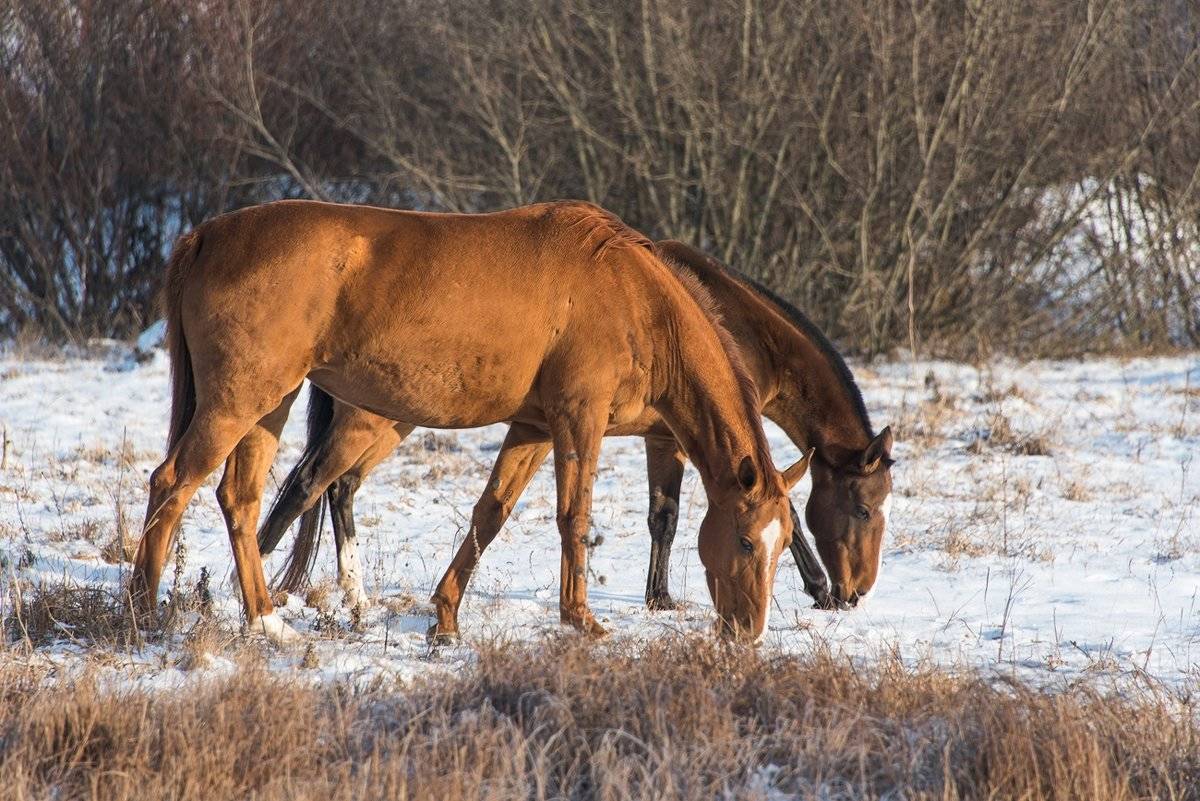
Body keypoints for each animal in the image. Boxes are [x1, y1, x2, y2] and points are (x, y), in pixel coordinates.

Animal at [133, 200, 806, 642]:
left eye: (785, 544)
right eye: (746, 540)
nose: (747, 633)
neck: (633, 296)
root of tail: (208, 234)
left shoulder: (534, 428)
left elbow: (491, 513)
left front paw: (447, 617)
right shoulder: (577, 420)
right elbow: (574, 517)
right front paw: (580, 618)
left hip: (270, 403)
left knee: (240, 500)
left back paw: (267, 620)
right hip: (238, 401)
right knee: (173, 483)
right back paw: (143, 612)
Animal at [258, 239, 897, 637]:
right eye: (865, 509)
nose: (859, 590)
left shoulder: (657, 439)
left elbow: (662, 516)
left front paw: (658, 597)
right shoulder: (676, 440)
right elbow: (672, 516)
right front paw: (816, 586)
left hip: (394, 419)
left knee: (337, 489)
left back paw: (348, 599)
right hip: (374, 419)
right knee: (309, 484)